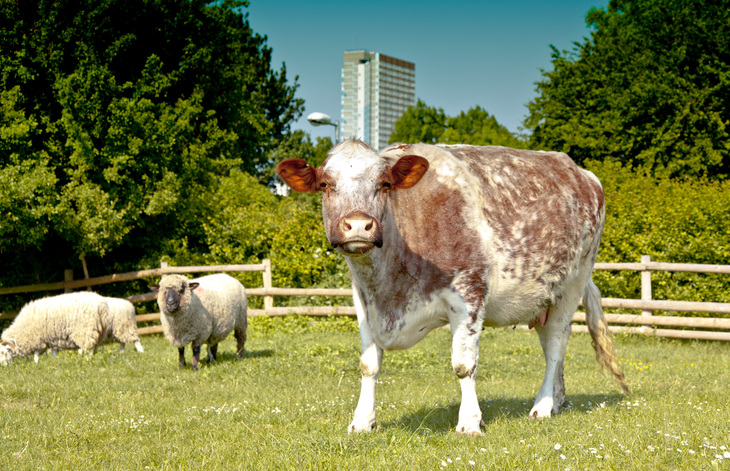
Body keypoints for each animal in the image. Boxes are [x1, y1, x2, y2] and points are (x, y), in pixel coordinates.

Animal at [276, 139, 627, 436]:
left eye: (384, 184)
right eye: (325, 184)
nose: (359, 225)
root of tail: (580, 172)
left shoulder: (469, 293)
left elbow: (463, 365)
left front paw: (470, 422)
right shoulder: (364, 301)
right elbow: (368, 364)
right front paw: (362, 421)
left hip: (574, 281)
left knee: (556, 343)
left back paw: (542, 406)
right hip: (544, 295)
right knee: (549, 345)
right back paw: (558, 399)